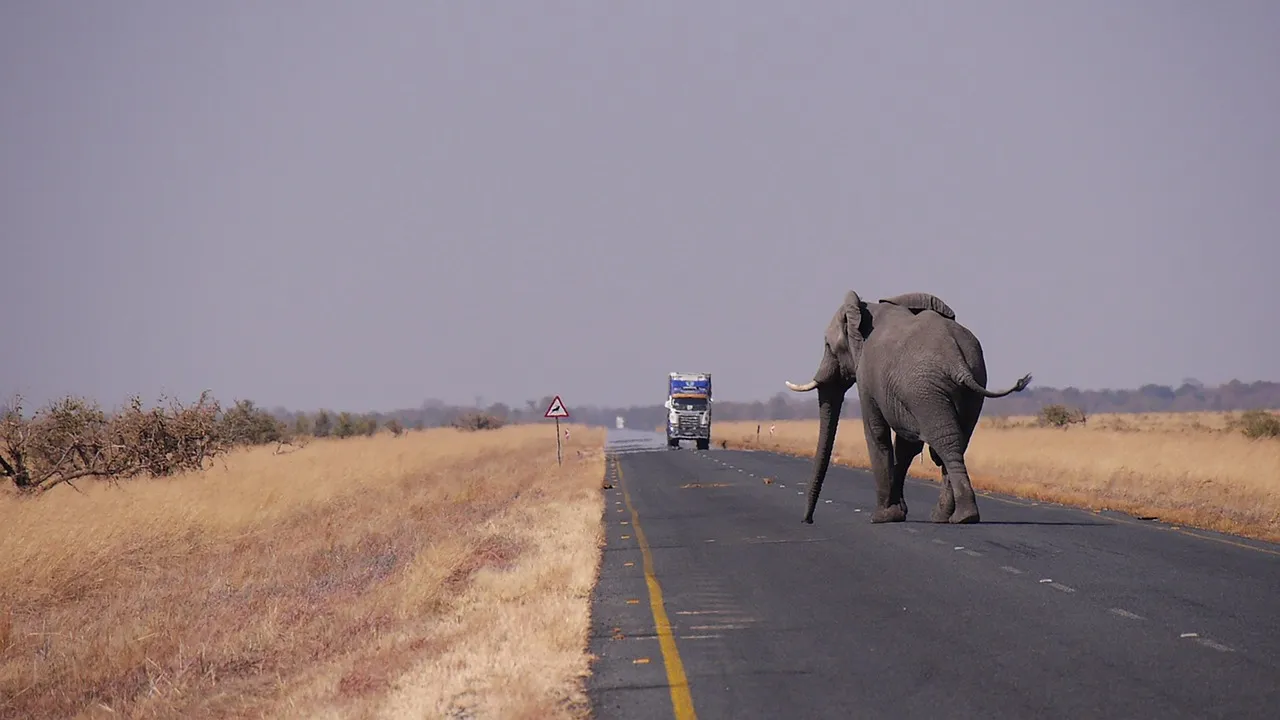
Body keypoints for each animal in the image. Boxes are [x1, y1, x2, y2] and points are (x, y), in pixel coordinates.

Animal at [783, 288, 1034, 525]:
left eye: (828, 346)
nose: (808, 520)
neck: (864, 309)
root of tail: (958, 362)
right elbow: (906, 447)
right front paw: (897, 512)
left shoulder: (867, 377)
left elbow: (877, 434)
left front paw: (882, 517)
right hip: (966, 383)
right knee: (955, 443)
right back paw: (948, 517)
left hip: (925, 390)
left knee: (944, 442)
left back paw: (961, 516)